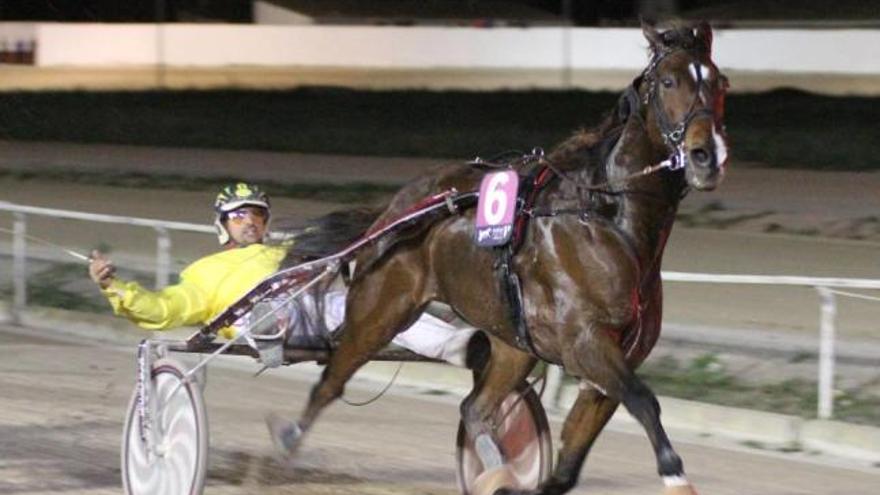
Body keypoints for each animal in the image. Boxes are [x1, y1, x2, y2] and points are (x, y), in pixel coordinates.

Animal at [276, 20, 728, 495]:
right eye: (668, 81)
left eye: (720, 83)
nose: (706, 155)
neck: (608, 219)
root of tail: (394, 211)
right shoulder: (585, 343)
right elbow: (643, 400)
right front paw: (675, 475)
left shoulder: (613, 360)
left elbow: (567, 466)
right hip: (380, 311)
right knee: (329, 383)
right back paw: (285, 448)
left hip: (512, 342)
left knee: (475, 409)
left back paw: (497, 471)